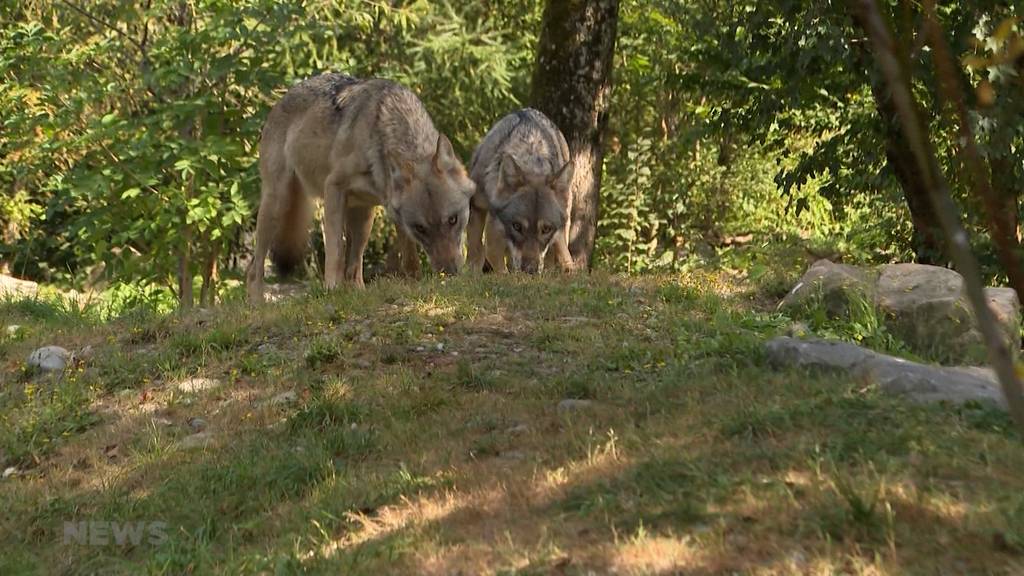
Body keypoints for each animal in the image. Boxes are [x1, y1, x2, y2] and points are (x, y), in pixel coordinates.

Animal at [247, 71, 475, 301]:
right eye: (420, 228)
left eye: (453, 220)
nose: (449, 272)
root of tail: (280, 100)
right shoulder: (334, 188)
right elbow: (336, 250)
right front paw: (332, 289)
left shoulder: (383, 209)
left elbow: (408, 254)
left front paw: (414, 282)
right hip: (277, 204)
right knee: (254, 267)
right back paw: (257, 303)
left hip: (362, 217)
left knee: (355, 267)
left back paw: (359, 292)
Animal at [466, 107, 573, 272]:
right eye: (517, 226)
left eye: (546, 229)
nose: (530, 269)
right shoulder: (479, 207)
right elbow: (478, 247)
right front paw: (471, 271)